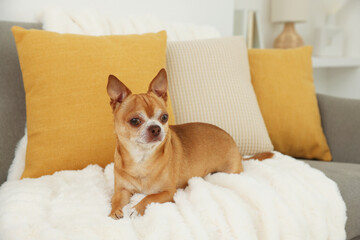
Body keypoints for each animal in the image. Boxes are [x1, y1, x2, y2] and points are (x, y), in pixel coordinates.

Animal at [107, 68, 272, 218]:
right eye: (135, 121)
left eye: (164, 117)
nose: (155, 128)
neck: (141, 158)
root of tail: (237, 150)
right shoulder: (121, 190)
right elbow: (115, 199)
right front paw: (114, 211)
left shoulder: (168, 192)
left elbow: (149, 197)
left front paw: (136, 208)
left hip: (230, 171)